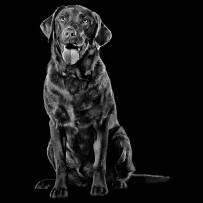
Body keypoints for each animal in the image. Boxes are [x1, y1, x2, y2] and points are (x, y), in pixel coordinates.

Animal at [35, 5, 170, 198]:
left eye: (85, 21)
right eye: (62, 19)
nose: (70, 32)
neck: (74, 76)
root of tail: (83, 180)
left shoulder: (100, 123)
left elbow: (99, 162)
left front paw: (99, 187)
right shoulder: (55, 123)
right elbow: (61, 163)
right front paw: (59, 188)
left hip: (121, 138)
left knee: (123, 172)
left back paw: (117, 182)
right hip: (49, 146)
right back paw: (48, 182)